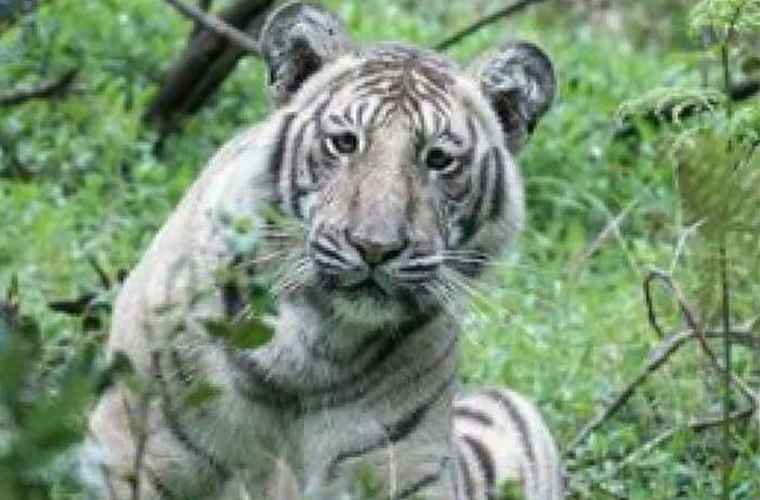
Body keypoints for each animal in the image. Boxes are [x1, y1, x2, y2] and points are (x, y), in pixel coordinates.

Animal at [81, 2, 563, 500]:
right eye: (345, 142)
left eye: (438, 159)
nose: (375, 247)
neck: (311, 348)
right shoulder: (140, 448)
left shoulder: (410, 469)